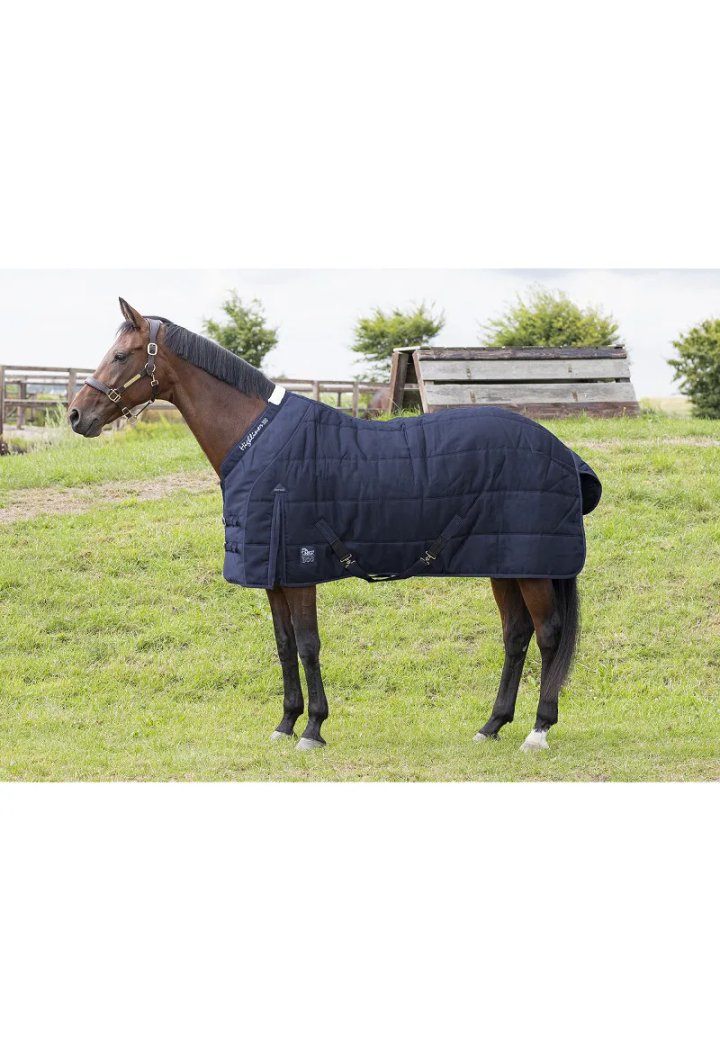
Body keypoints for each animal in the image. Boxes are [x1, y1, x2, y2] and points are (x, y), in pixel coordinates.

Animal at [68, 299, 601, 754]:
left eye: (120, 355)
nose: (76, 415)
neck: (259, 443)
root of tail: (562, 451)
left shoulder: (300, 568)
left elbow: (308, 645)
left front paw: (313, 729)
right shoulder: (273, 574)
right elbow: (284, 645)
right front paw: (285, 723)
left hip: (532, 566)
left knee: (548, 633)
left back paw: (538, 730)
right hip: (503, 562)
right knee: (516, 635)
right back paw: (491, 725)